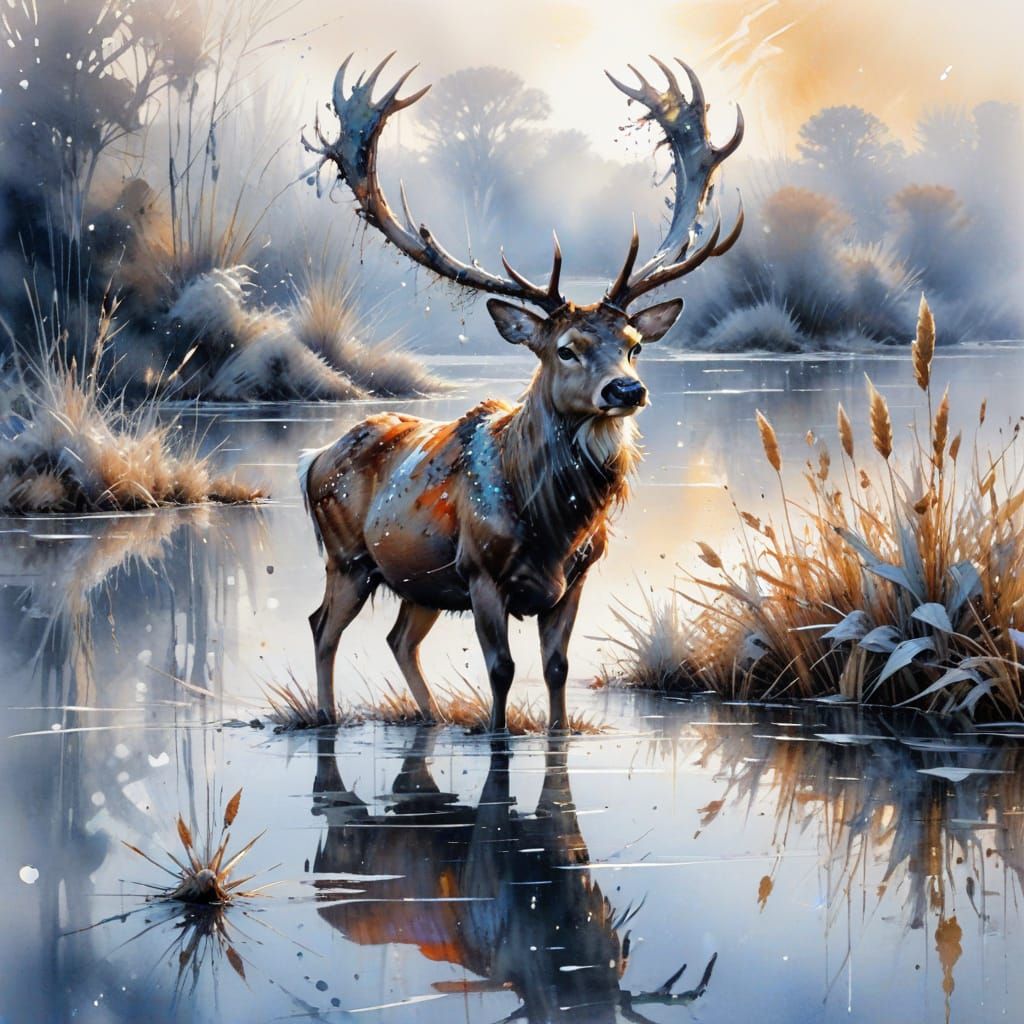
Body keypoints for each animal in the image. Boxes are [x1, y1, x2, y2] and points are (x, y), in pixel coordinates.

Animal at [299, 53, 744, 731]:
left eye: (635, 343)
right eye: (566, 349)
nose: (627, 389)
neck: (553, 528)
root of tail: (312, 459)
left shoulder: (576, 578)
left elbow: (557, 669)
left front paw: (555, 735)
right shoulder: (481, 572)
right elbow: (502, 672)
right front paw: (495, 735)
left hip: (419, 581)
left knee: (399, 639)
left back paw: (430, 719)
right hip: (347, 556)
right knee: (323, 626)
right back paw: (326, 718)